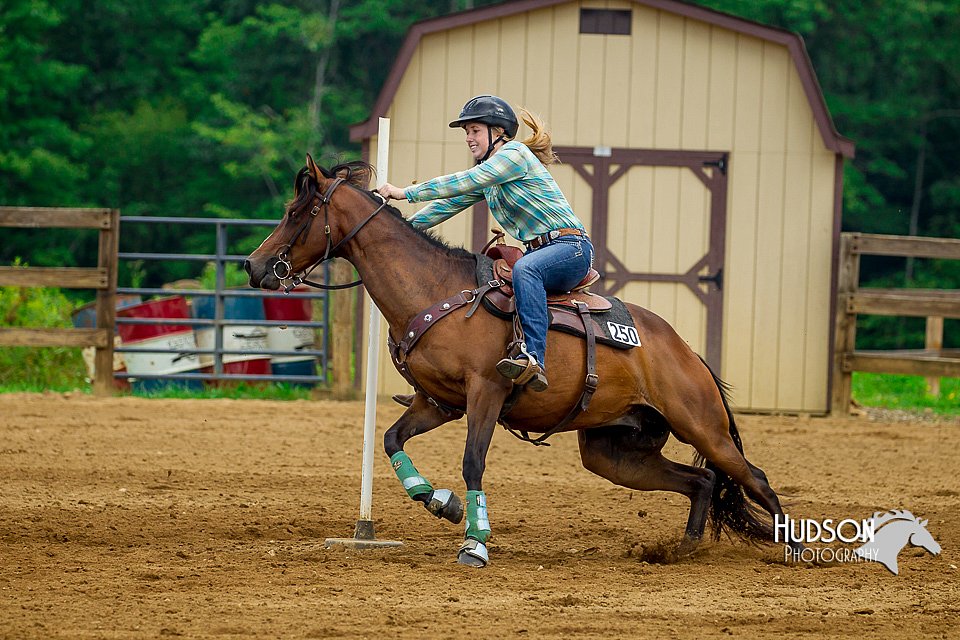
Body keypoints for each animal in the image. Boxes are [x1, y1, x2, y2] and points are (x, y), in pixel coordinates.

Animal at [244, 155, 800, 564]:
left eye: (297, 213)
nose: (253, 266)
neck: (436, 290)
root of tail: (686, 350)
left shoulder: (485, 393)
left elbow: (473, 461)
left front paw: (475, 542)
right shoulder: (438, 402)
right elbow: (391, 440)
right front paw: (442, 504)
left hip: (701, 425)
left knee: (755, 478)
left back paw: (794, 551)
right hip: (616, 452)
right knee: (702, 480)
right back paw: (681, 551)